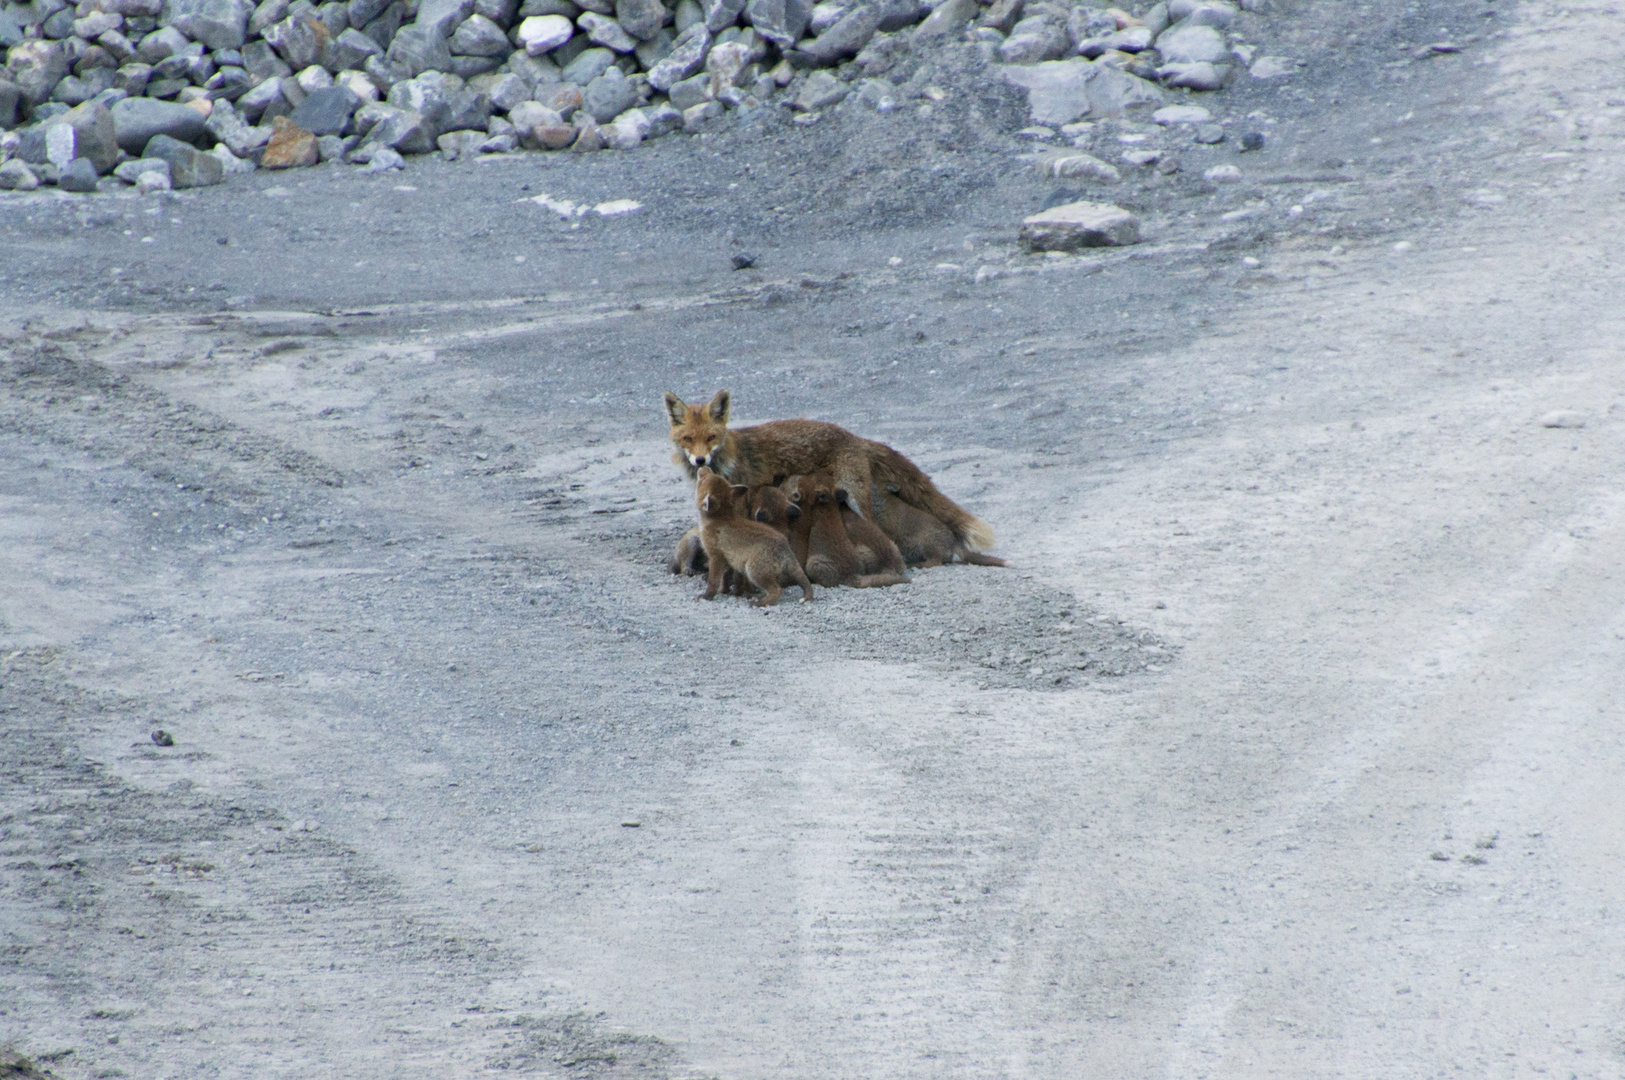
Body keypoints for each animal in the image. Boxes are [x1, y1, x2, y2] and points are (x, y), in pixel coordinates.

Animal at [666, 389, 994, 552]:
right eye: (688, 439)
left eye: (711, 437)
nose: (699, 461)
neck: (727, 459)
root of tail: (855, 436)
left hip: (855, 497)